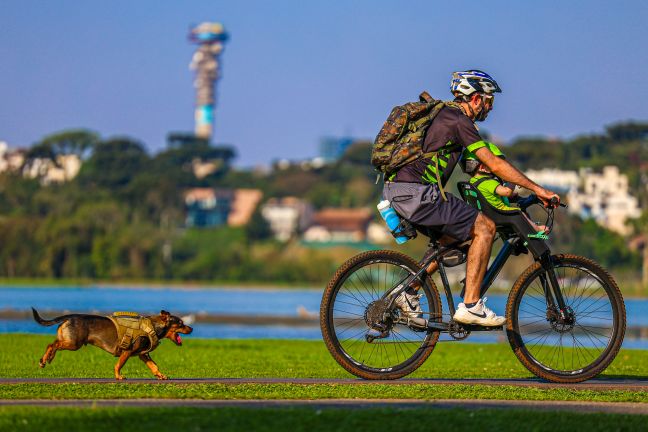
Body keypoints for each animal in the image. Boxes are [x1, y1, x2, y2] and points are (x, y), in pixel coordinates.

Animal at [31, 308, 192, 382]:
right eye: (181, 323)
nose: (191, 329)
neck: (153, 326)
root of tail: (70, 317)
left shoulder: (143, 355)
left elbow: (154, 366)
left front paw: (160, 375)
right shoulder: (128, 351)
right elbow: (118, 365)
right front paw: (118, 376)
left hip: (71, 342)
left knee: (53, 344)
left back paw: (47, 359)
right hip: (74, 343)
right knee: (52, 345)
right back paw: (45, 359)